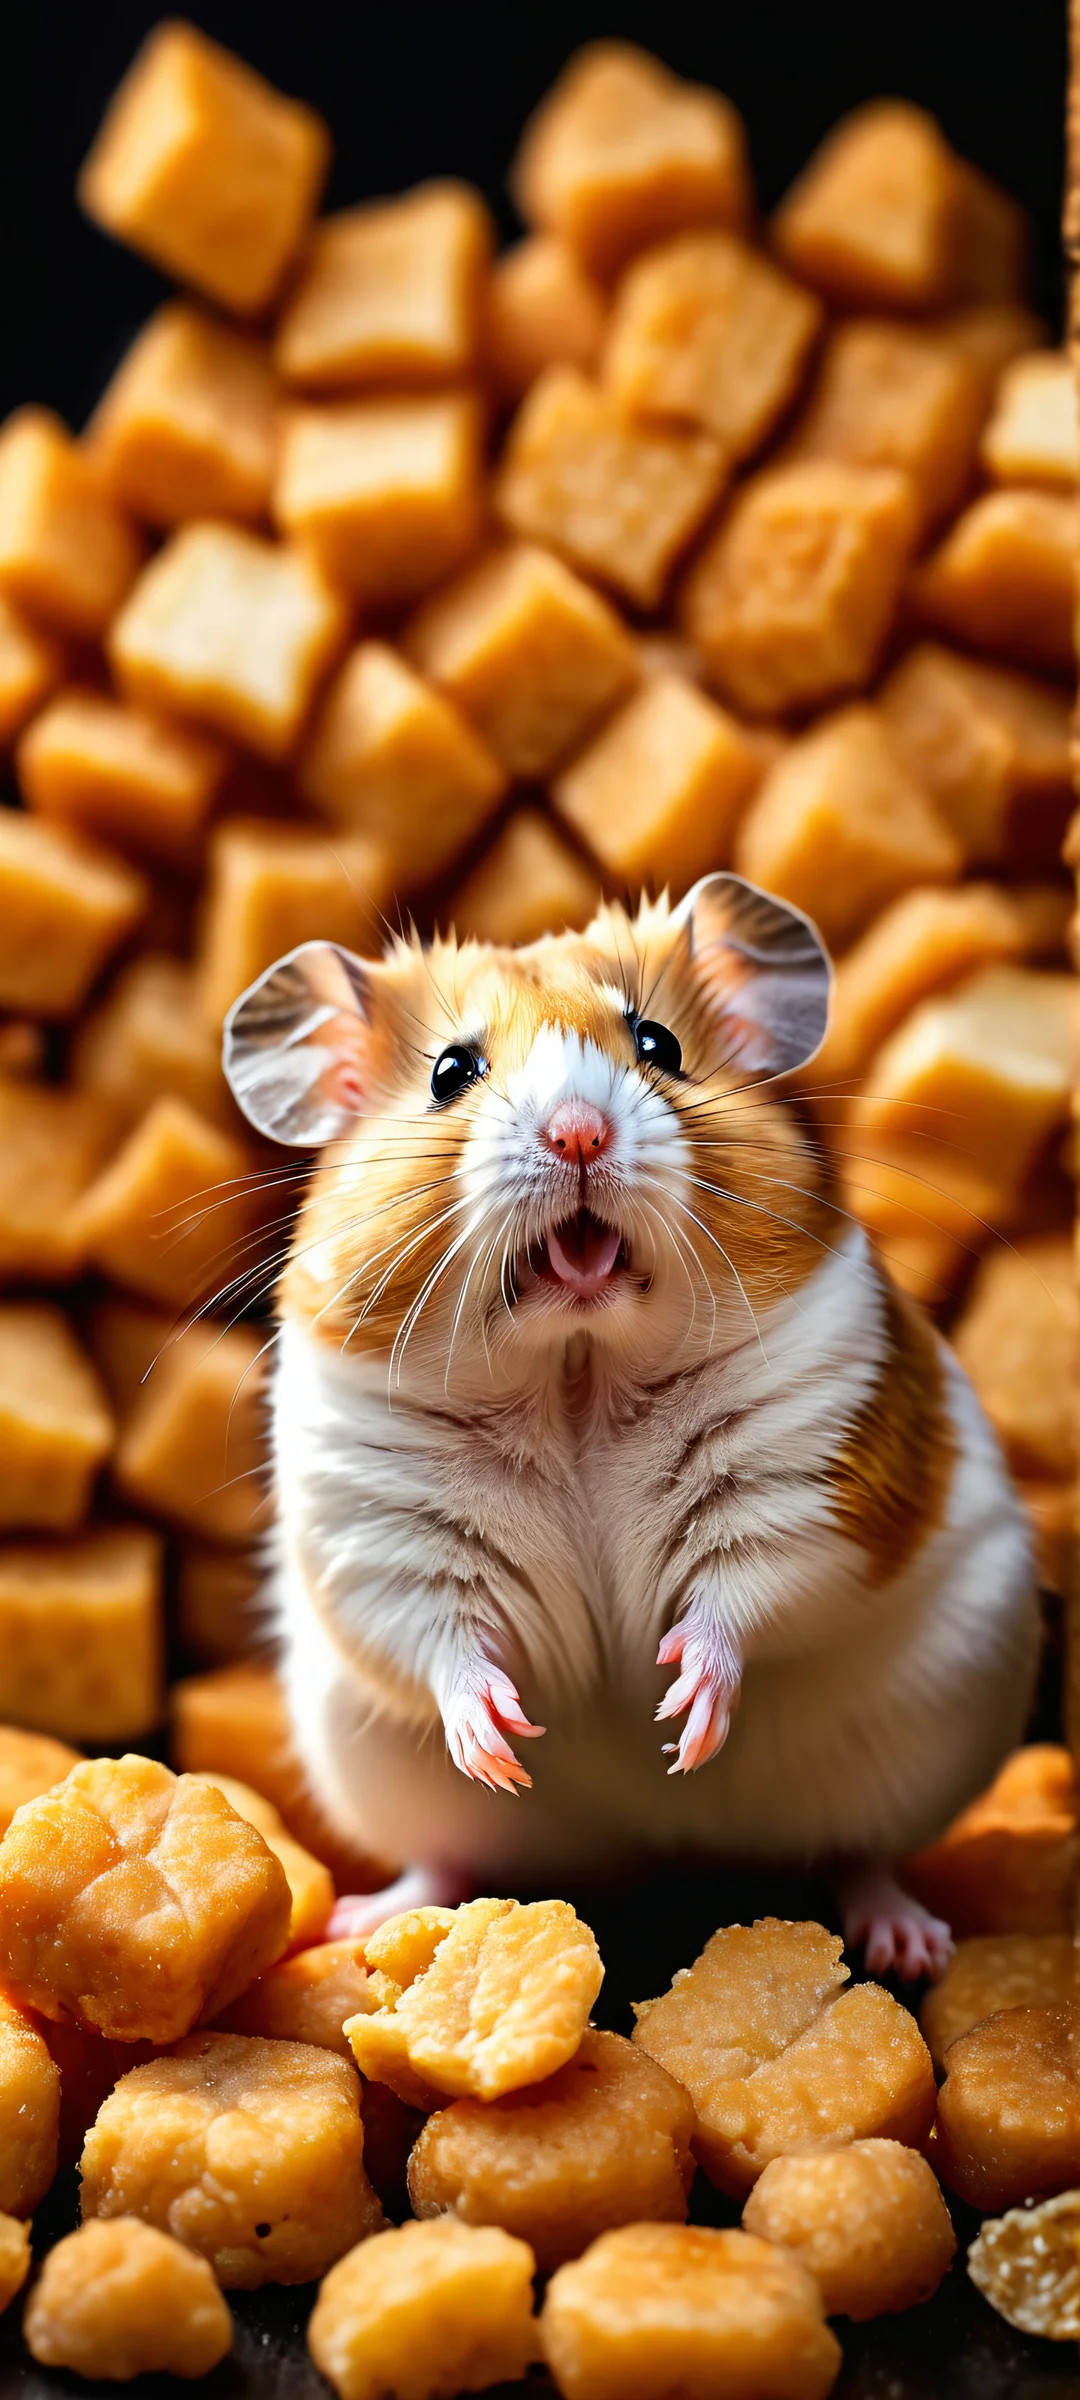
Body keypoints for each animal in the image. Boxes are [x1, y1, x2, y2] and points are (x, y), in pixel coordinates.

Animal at [223, 872, 1039, 1978]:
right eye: (449, 1072)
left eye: (658, 1044)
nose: (579, 1132)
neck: (579, 1372)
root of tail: (657, 1846)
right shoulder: (384, 1531)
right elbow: (442, 1636)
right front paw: (501, 1739)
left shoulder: (810, 1477)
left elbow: (744, 1596)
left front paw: (681, 1724)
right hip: (379, 1765)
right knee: (447, 1853)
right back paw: (367, 1919)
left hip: (927, 1730)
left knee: (862, 1852)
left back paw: (909, 1945)